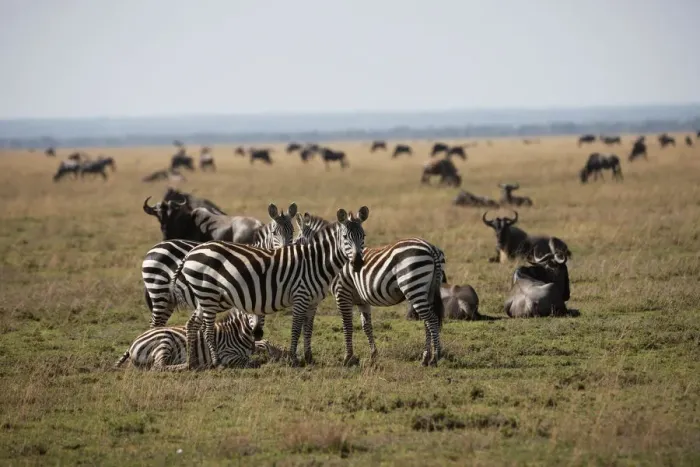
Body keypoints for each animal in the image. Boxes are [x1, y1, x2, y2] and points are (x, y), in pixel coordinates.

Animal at [114, 312, 287, 370]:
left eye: (263, 314)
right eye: (248, 315)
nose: (257, 333)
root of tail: (133, 342)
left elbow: (266, 343)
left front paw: (280, 352)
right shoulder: (226, 355)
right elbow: (249, 361)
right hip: (164, 341)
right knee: (158, 367)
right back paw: (191, 365)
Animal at [142, 202, 298, 328]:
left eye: (293, 231)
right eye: (274, 233)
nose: (285, 252)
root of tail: (154, 248)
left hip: (168, 299)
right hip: (159, 291)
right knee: (155, 323)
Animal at [168, 206, 369, 370]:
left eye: (364, 236)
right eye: (345, 237)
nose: (358, 263)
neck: (315, 262)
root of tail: (191, 252)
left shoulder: (313, 302)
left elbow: (308, 329)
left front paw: (309, 358)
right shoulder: (300, 296)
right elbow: (296, 328)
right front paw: (294, 360)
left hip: (204, 296)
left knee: (192, 324)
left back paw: (192, 363)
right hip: (208, 295)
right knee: (208, 328)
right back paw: (217, 362)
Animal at [294, 213, 446, 367]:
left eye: (297, 240)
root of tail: (430, 247)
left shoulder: (342, 292)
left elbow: (347, 325)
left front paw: (348, 357)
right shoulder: (362, 300)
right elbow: (366, 326)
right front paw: (373, 355)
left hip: (414, 287)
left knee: (432, 320)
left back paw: (434, 357)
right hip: (428, 290)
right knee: (428, 322)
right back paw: (426, 357)